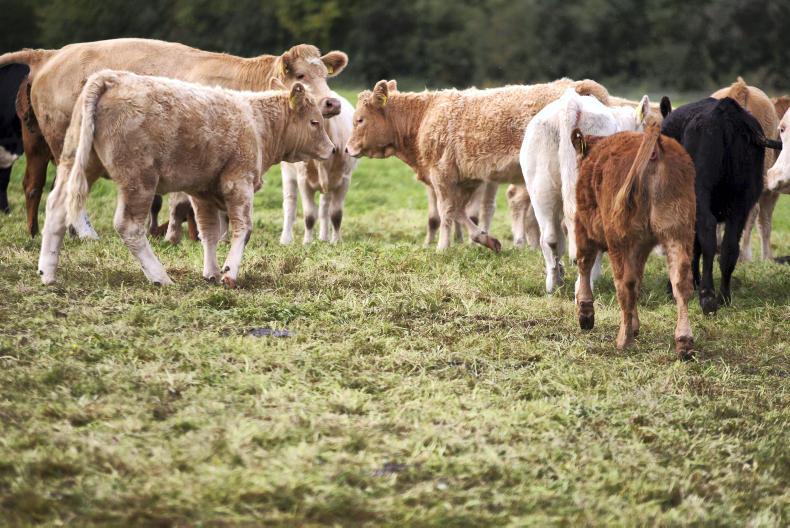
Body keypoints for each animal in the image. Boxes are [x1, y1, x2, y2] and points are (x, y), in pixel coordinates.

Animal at [0, 38, 347, 237]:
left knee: (32, 186)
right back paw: (80, 232)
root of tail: (50, 55)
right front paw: (184, 236)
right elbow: (186, 205)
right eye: (300, 75)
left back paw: (33, 232)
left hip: (37, 144)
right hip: (67, 146)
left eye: (325, 75)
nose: (333, 103)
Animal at [38, 71, 334, 287]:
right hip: (139, 179)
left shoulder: (202, 191)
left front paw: (211, 273)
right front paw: (229, 273)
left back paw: (47, 273)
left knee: (57, 208)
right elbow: (243, 229)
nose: (331, 149)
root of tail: (111, 77)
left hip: (77, 162)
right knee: (129, 227)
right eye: (315, 122)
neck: (256, 123)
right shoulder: (239, 181)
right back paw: (160, 277)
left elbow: (209, 232)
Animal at [345, 78, 611, 251]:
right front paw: (486, 240)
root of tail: (575, 86)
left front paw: (442, 248)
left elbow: (446, 212)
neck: (424, 116)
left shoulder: (441, 174)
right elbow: (459, 211)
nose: (347, 149)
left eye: (359, 120)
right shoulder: (467, 179)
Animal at [572, 124, 696, 358]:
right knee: (680, 283)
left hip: (619, 239)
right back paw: (684, 342)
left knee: (624, 284)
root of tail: (656, 150)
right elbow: (639, 280)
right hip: (677, 231)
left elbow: (584, 264)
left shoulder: (582, 225)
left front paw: (585, 313)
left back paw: (624, 339)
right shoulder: (643, 246)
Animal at [660, 96, 782, 314]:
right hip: (743, 200)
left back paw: (707, 297)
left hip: (700, 191)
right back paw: (724, 296)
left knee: (708, 236)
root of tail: (726, 111)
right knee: (729, 247)